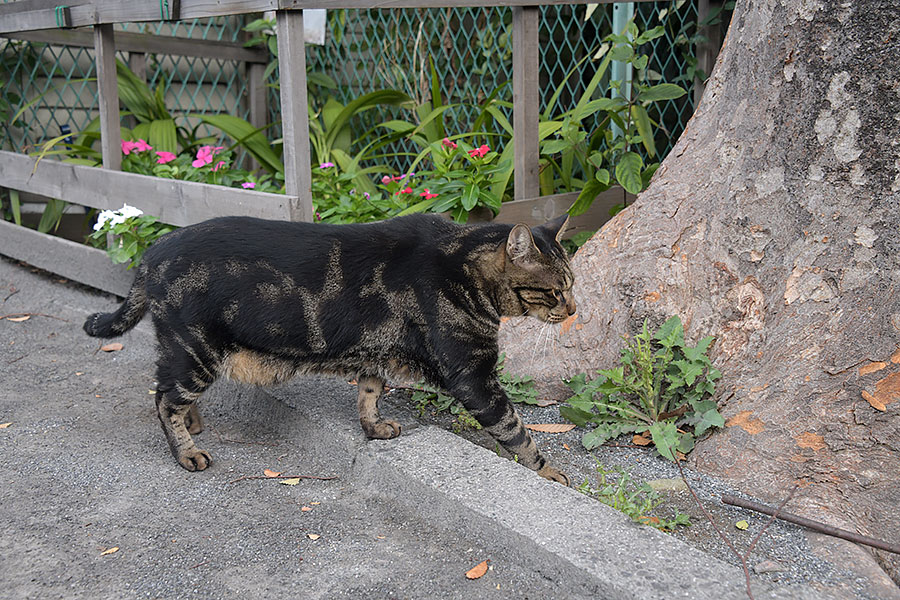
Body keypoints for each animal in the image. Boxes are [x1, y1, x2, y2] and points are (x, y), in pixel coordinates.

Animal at [84, 213, 576, 486]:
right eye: (556, 290)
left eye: (572, 284)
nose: (574, 309)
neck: (463, 266)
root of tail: (150, 252)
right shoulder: (473, 375)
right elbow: (517, 430)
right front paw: (549, 474)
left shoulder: (377, 350)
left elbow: (369, 392)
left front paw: (374, 428)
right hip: (196, 351)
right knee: (164, 400)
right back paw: (187, 451)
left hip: (186, 352)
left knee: (165, 388)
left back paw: (194, 423)